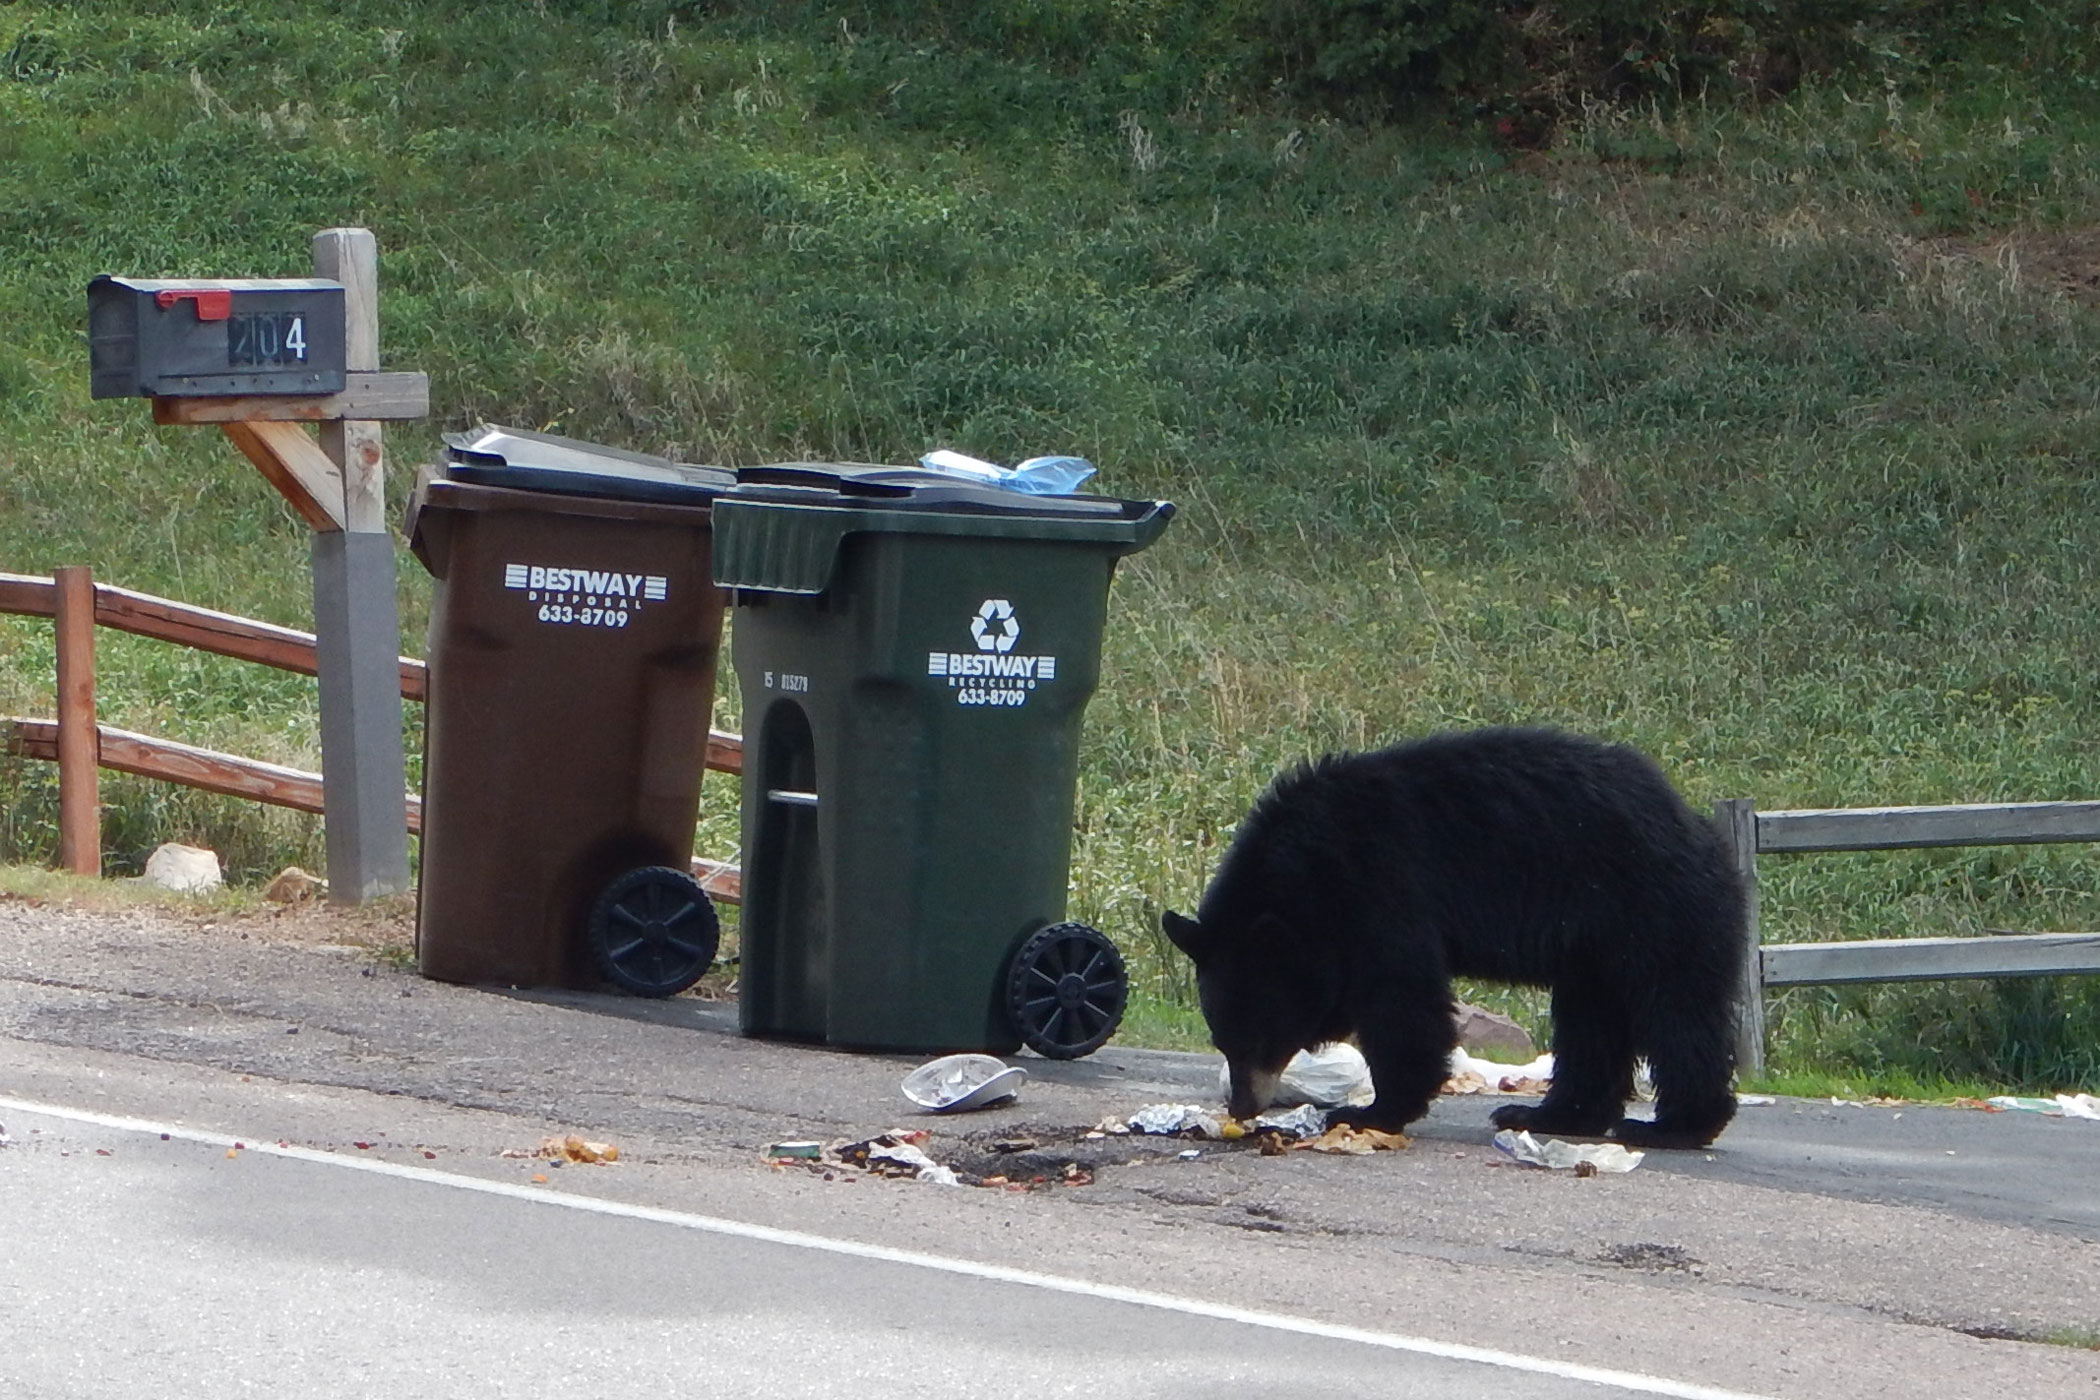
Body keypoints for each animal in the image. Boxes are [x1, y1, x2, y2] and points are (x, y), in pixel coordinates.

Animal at [1176, 730, 1747, 1141]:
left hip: (1653, 911)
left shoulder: (1384, 886)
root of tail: (1702, 829)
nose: (1242, 1106)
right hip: (1595, 949)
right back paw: (1548, 1115)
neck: (1311, 872)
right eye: (1220, 1038)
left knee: (1675, 1012)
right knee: (1591, 1024)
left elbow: (1403, 1000)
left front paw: (1372, 1111)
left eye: (1259, 1038)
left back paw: (1674, 1125)